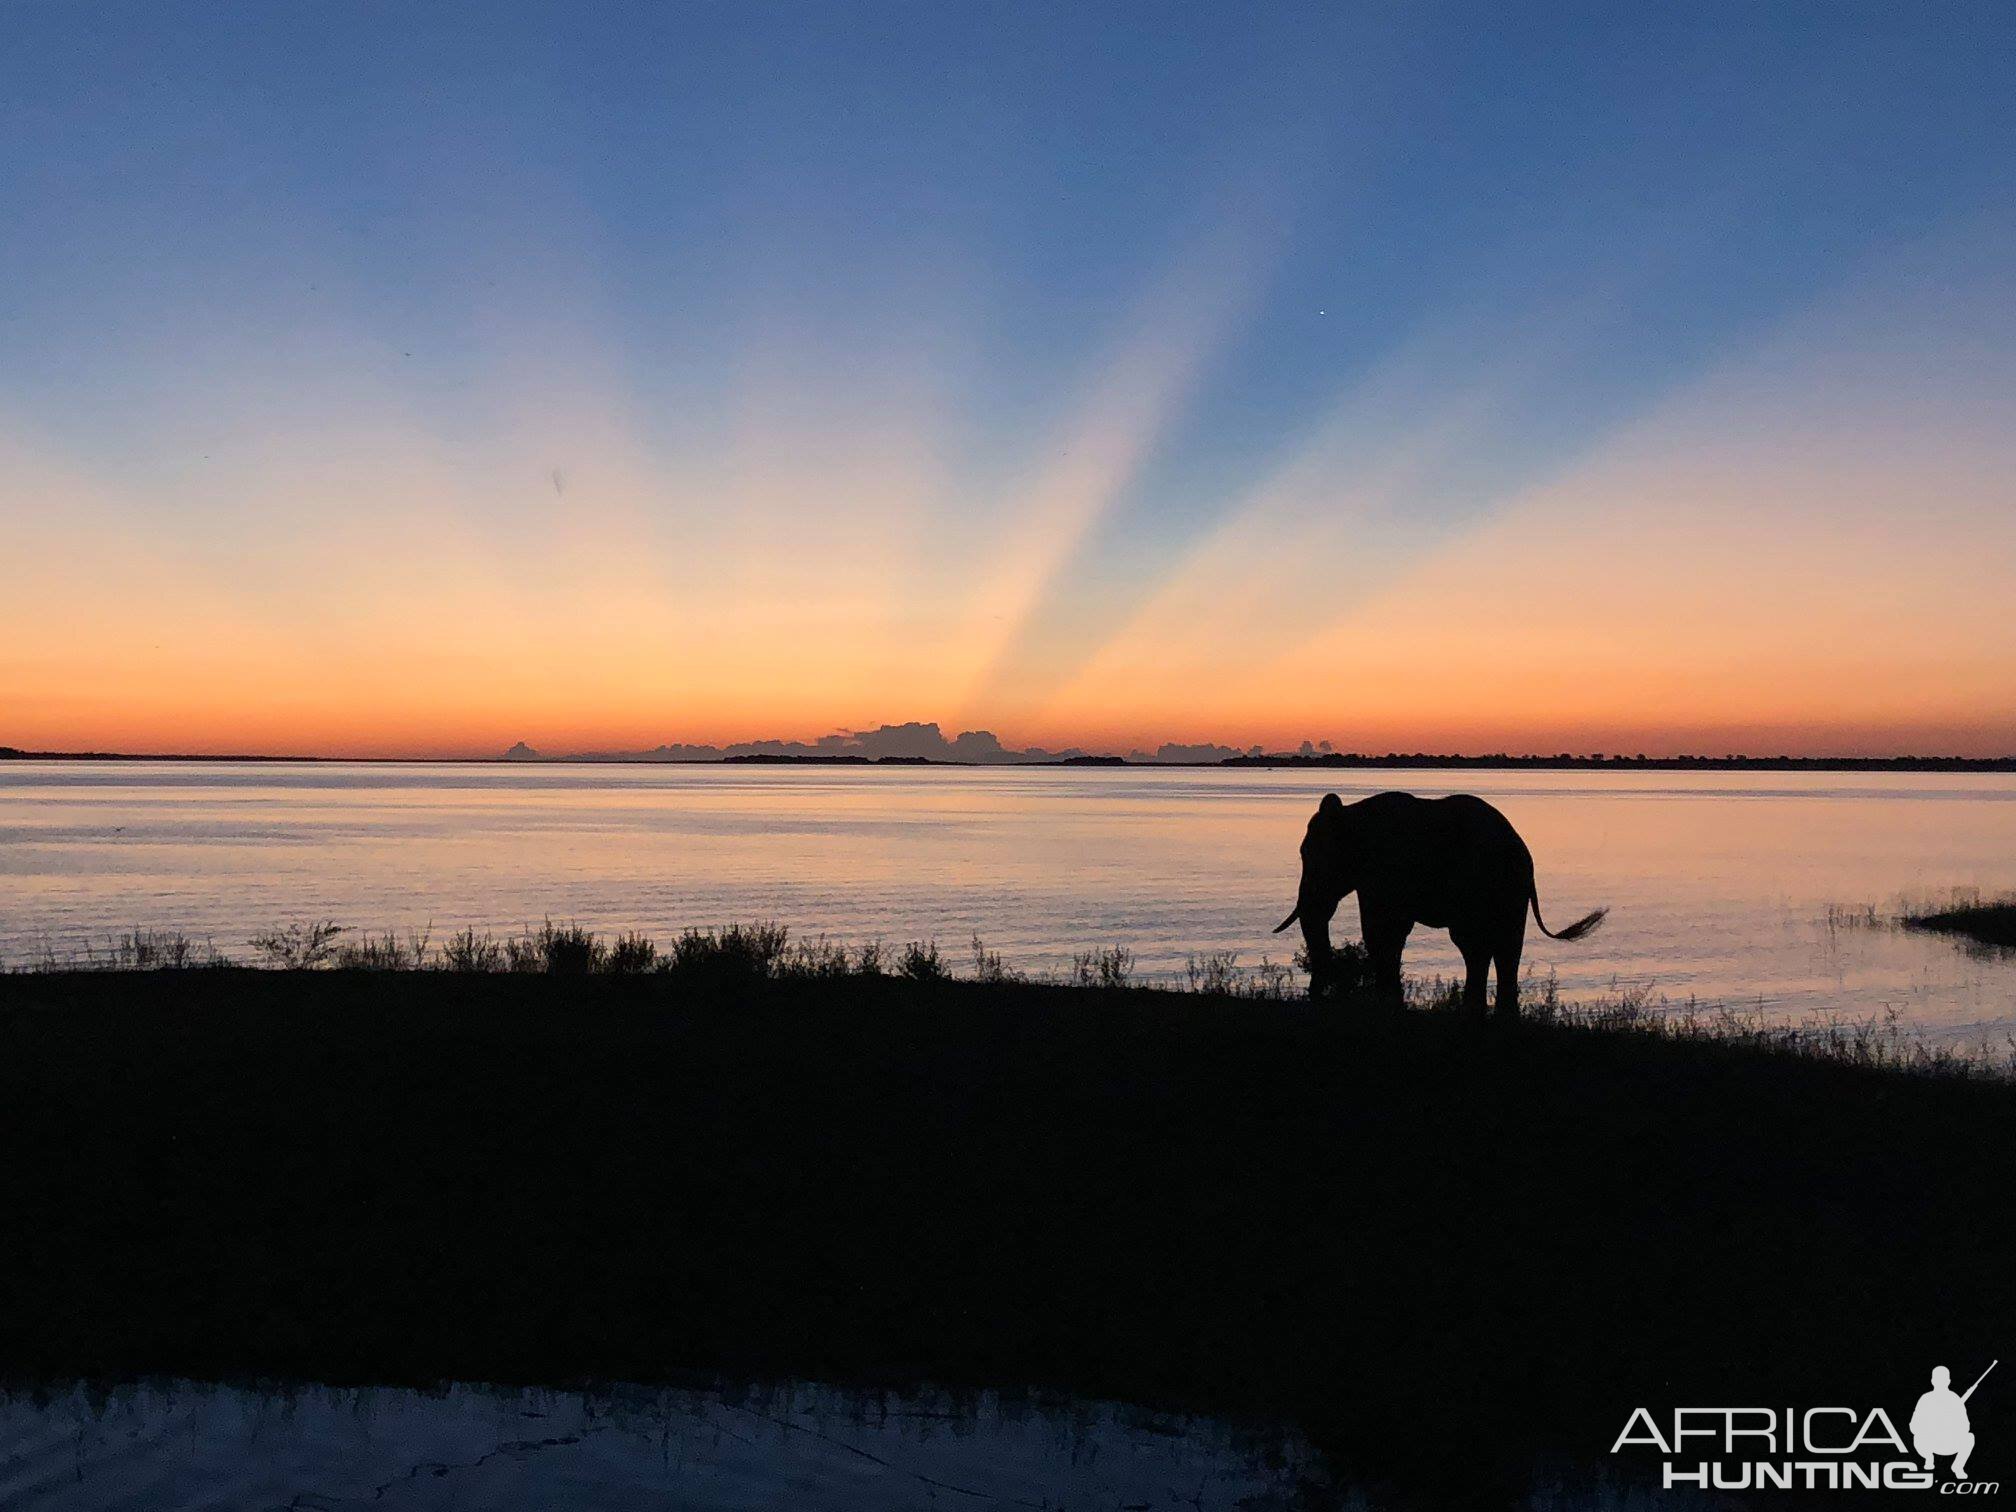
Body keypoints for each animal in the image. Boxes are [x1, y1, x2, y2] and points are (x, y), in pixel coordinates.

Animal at [1274, 794, 1604, 1020]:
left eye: (1310, 856)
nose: (1315, 997)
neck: (1351, 814)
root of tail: (1520, 849)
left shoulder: (1386, 872)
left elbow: (1382, 931)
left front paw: (1388, 1006)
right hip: (1510, 888)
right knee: (1499, 948)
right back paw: (1490, 1016)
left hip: (1484, 884)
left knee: (1480, 945)